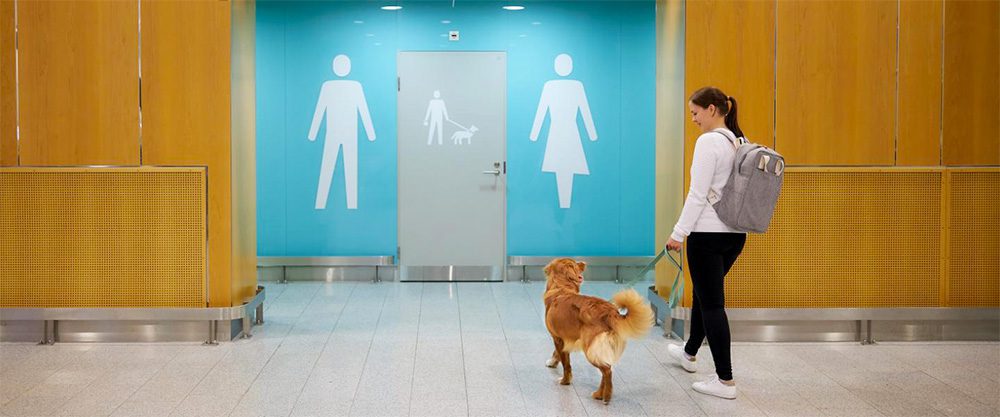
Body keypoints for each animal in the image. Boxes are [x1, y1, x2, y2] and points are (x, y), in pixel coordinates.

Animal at [544, 256, 652, 404]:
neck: (561, 288)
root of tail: (611, 311)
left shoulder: (557, 338)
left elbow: (566, 364)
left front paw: (565, 381)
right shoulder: (566, 339)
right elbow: (560, 356)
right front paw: (553, 362)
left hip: (590, 348)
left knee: (607, 370)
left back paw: (606, 396)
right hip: (598, 348)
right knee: (606, 368)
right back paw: (599, 394)